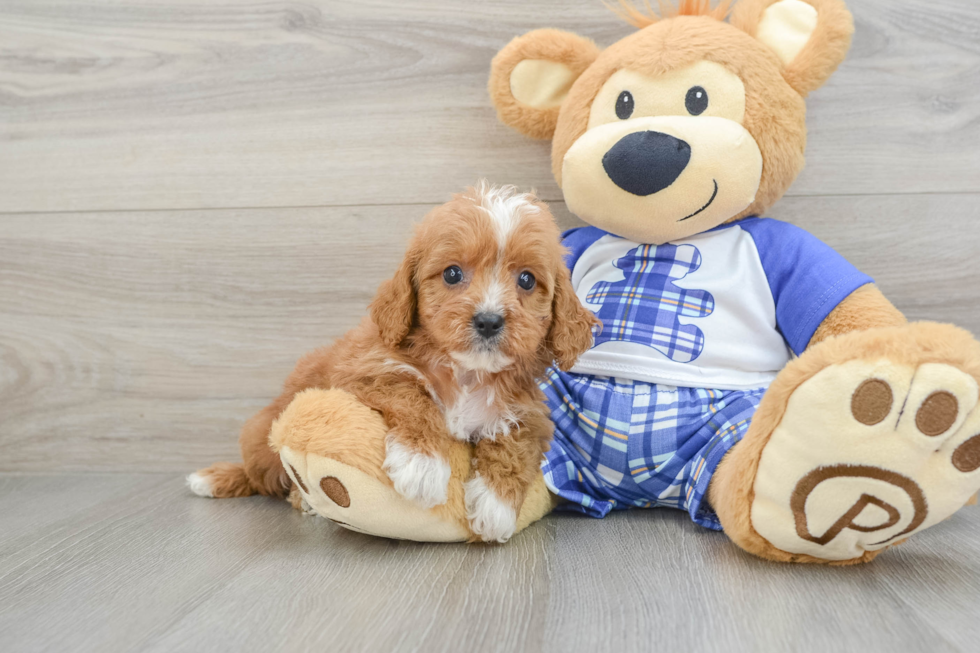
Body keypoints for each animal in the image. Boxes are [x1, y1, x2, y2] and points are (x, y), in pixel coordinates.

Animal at [188, 182, 592, 540]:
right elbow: (412, 394)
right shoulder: (364, 373)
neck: (467, 373)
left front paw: (496, 507)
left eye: (527, 280)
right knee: (261, 476)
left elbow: (514, 446)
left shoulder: (530, 415)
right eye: (452, 273)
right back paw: (233, 482)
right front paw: (422, 465)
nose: (489, 320)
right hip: (263, 438)